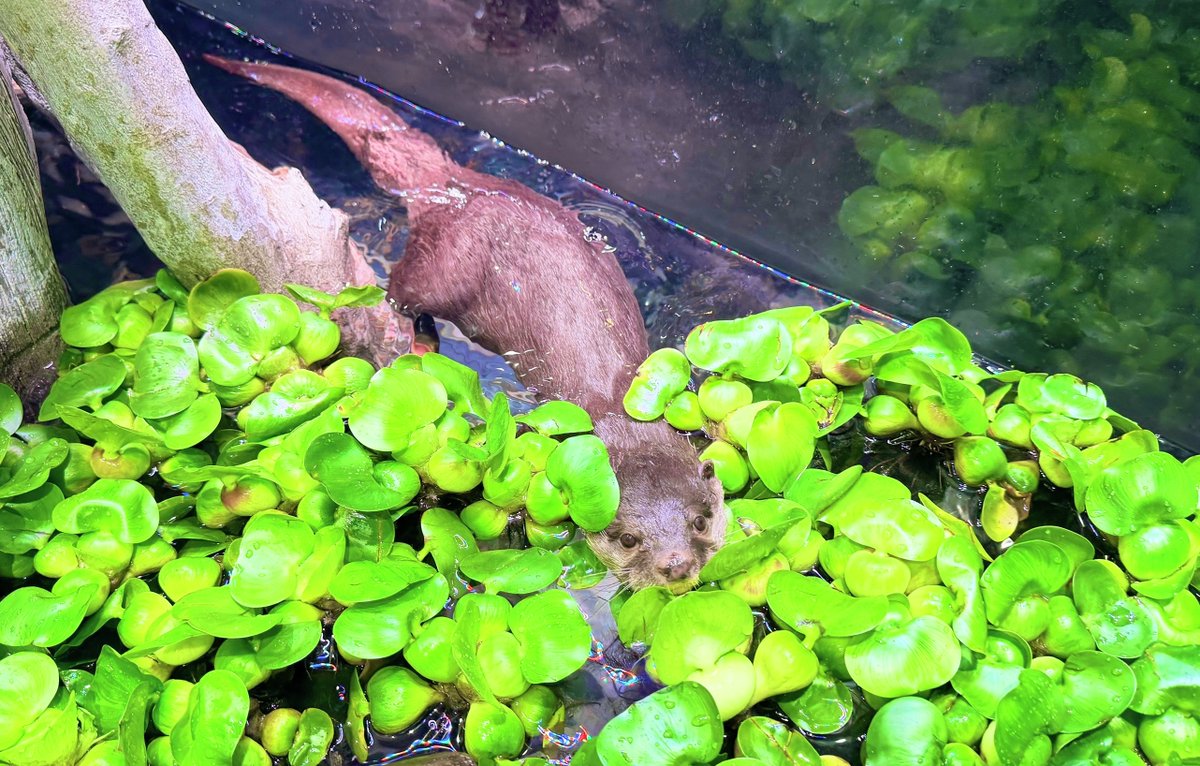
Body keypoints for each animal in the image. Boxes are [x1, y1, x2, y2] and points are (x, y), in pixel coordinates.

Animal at [206, 56, 727, 591]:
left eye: (700, 520)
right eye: (627, 539)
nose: (676, 565)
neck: (617, 407)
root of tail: (451, 189)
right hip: (439, 270)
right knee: (401, 292)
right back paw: (417, 344)